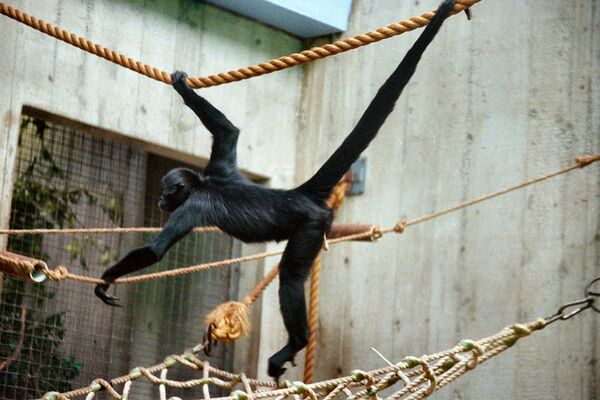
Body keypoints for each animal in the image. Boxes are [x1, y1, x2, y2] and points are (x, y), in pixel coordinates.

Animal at [95, 0, 457, 379]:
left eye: (168, 191)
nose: (161, 200)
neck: (205, 183)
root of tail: (299, 194)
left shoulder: (194, 204)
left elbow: (155, 251)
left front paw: (105, 280)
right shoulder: (220, 168)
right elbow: (229, 131)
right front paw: (183, 87)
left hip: (311, 227)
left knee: (290, 276)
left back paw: (296, 341)